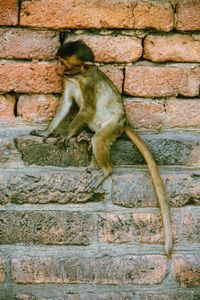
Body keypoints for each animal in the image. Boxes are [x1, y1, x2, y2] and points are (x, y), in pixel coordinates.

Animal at [30, 39, 173, 258]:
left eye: (63, 64)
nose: (57, 69)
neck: (78, 75)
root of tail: (125, 121)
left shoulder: (87, 84)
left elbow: (86, 109)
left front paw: (66, 135)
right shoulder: (69, 82)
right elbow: (66, 105)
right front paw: (46, 132)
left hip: (113, 126)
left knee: (100, 140)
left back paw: (104, 168)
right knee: (95, 137)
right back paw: (87, 140)